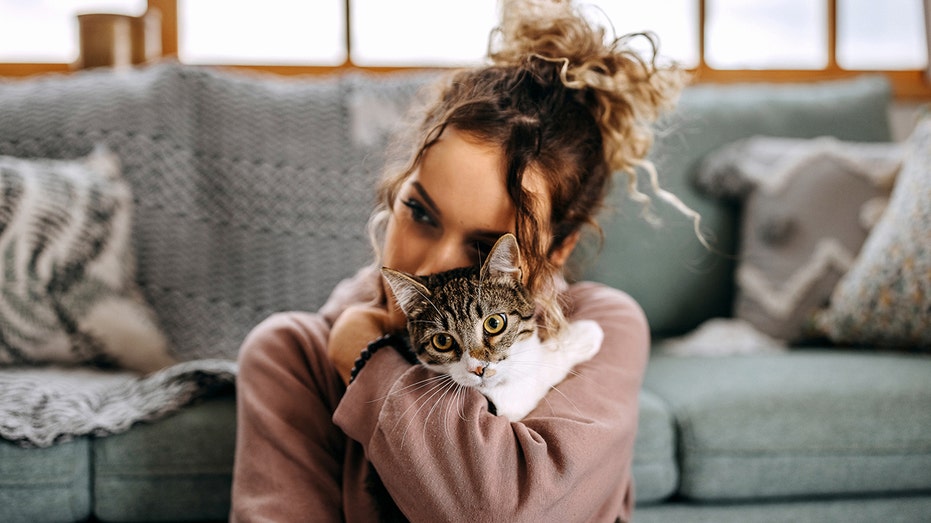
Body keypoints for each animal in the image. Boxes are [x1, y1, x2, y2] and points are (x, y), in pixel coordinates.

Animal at [380, 233, 604, 422]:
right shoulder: (504, 403)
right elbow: (538, 372)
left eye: (494, 323)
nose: (478, 368)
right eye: (442, 340)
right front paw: (582, 334)